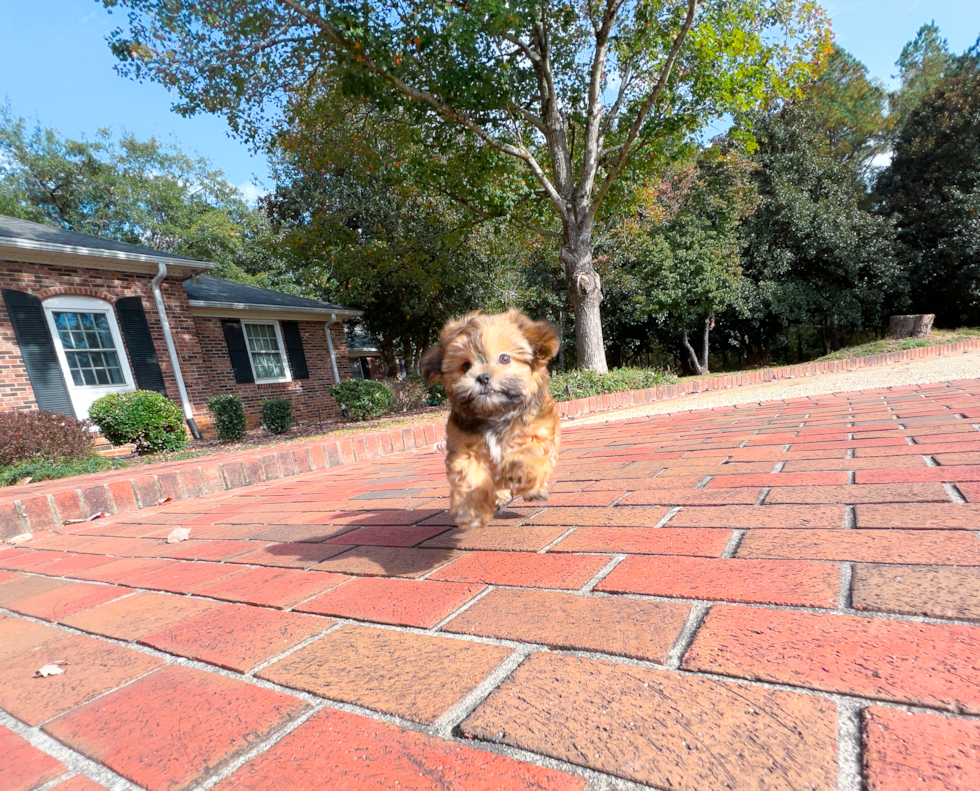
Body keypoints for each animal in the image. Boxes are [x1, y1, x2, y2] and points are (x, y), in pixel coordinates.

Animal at [420, 312, 560, 528]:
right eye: (466, 366)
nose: (483, 377)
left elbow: (529, 452)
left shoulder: (537, 431)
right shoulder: (465, 447)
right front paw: (470, 510)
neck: (495, 414)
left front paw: (521, 473)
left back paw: (533, 490)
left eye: (504, 358)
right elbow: (470, 477)